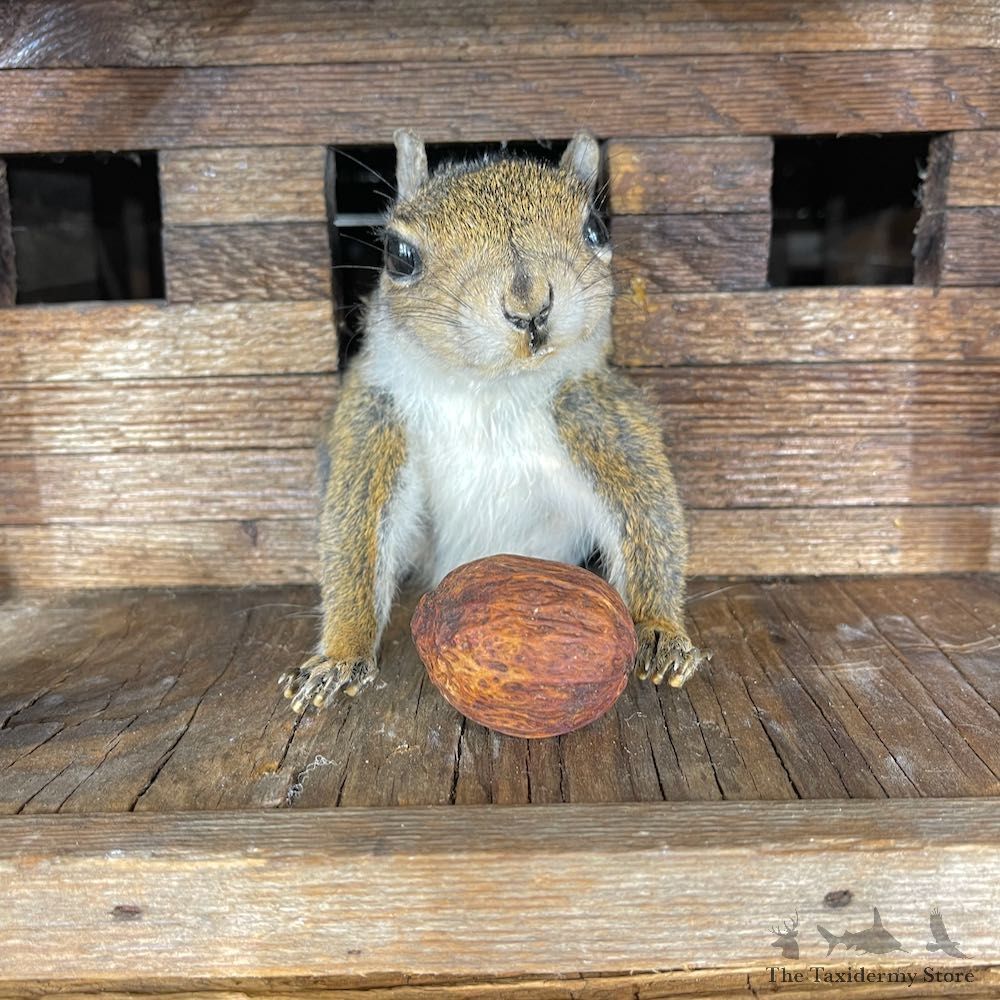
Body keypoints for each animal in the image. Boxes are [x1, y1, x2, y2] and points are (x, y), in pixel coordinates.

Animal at [280, 129, 709, 714]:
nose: (529, 307)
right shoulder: (375, 421)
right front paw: (341, 655)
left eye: (596, 229)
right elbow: (355, 535)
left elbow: (647, 515)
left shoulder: (598, 416)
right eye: (399, 256)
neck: (489, 390)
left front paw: (659, 630)